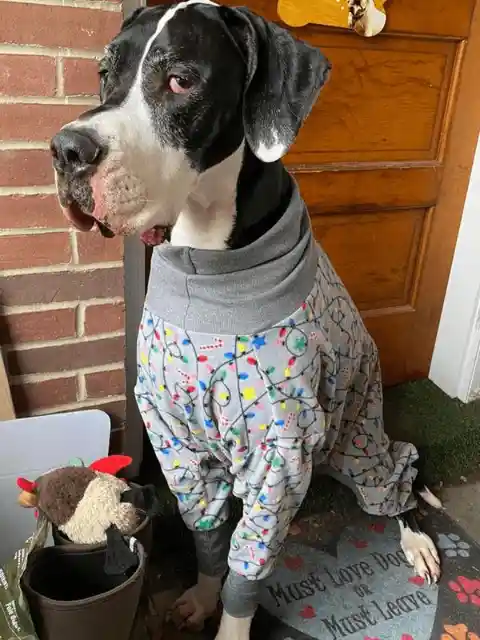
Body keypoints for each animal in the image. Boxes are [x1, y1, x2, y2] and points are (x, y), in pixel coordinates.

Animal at [50, 2, 440, 636]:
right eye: (105, 72)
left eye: (180, 80)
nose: (65, 150)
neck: (206, 265)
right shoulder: (173, 434)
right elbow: (209, 534)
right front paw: (203, 596)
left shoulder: (280, 450)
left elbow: (247, 561)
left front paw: (231, 618)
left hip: (359, 433)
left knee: (399, 471)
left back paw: (418, 540)